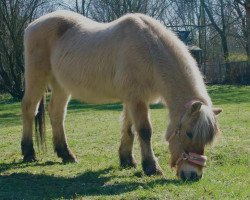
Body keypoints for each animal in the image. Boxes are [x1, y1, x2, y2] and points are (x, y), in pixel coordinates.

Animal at [20, 10, 222, 180]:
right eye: (189, 133)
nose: (193, 175)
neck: (148, 50)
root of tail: (33, 25)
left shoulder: (131, 98)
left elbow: (129, 128)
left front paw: (127, 160)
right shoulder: (136, 98)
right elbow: (144, 130)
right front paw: (151, 167)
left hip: (61, 86)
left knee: (57, 114)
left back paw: (66, 154)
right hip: (37, 78)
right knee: (29, 109)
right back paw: (29, 153)